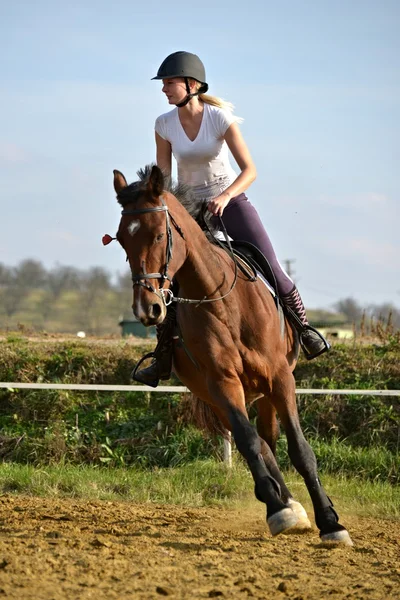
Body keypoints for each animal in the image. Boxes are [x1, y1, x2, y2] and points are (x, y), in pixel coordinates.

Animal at [112, 163, 354, 544]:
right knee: (259, 442)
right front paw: (277, 508)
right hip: (217, 396)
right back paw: (284, 504)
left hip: (266, 390)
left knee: (270, 437)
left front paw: (331, 523)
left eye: (158, 236)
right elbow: (248, 443)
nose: (147, 309)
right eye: (122, 239)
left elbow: (299, 449)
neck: (219, 298)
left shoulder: (281, 379)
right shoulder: (221, 384)